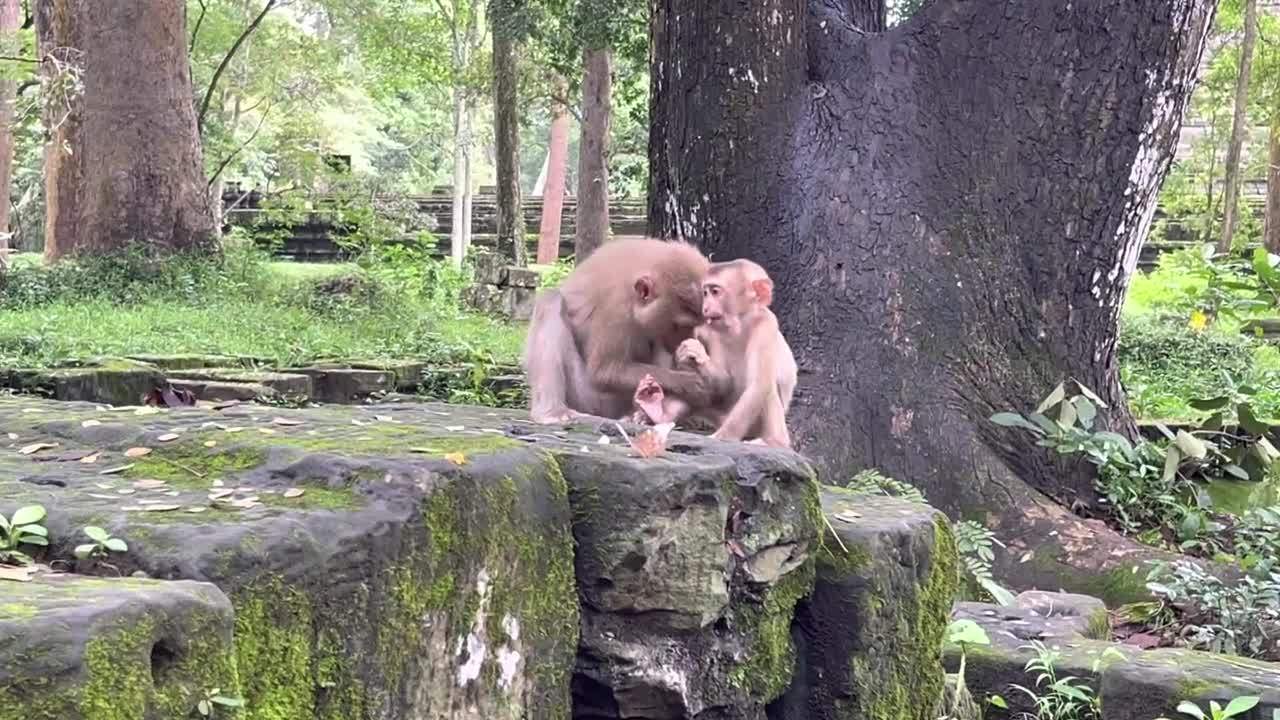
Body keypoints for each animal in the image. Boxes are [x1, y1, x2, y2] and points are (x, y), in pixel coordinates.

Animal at [522, 238, 721, 422]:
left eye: (697, 323)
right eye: (680, 326)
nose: (686, 339)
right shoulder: (616, 308)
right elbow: (604, 372)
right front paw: (687, 383)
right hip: (589, 399)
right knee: (550, 300)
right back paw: (551, 411)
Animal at [632, 257, 798, 448]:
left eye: (715, 292)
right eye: (705, 293)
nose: (705, 307)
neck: (740, 323)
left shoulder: (766, 325)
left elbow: (758, 384)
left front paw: (723, 436)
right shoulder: (709, 329)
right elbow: (723, 381)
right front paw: (693, 353)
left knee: (767, 386)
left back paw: (776, 440)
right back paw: (657, 412)